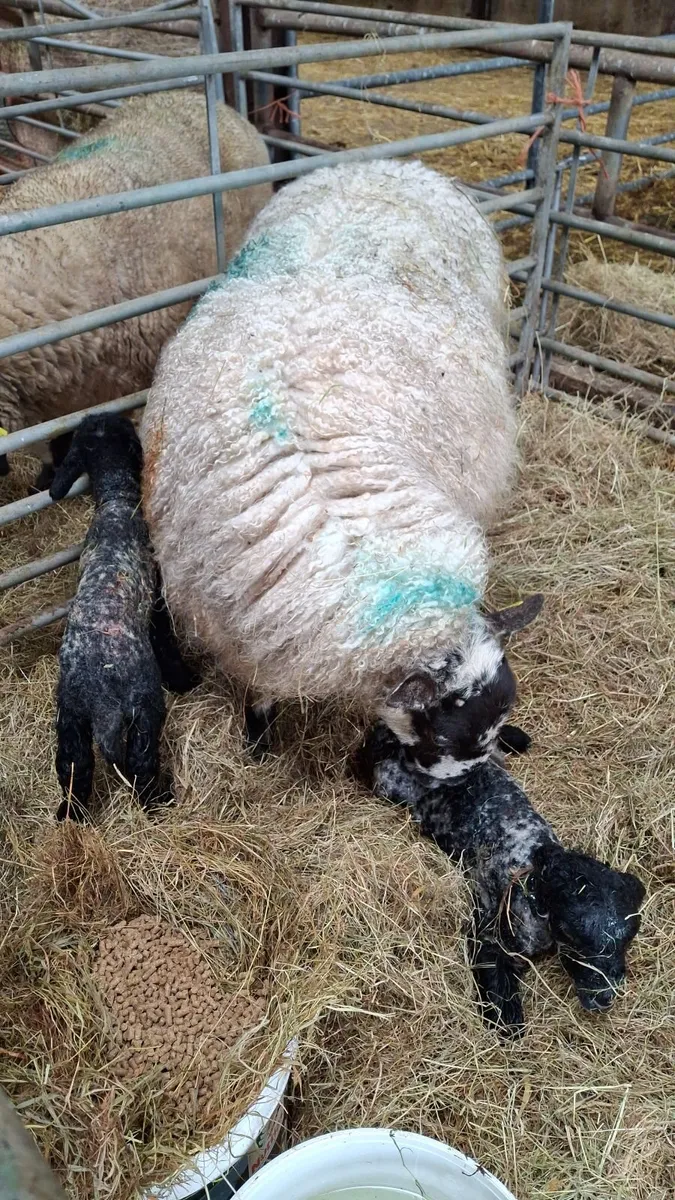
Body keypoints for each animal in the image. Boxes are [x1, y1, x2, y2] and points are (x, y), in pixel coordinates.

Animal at [51, 412, 197, 822]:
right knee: (140, 767)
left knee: (74, 770)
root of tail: (101, 700)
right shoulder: (158, 600)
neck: (116, 500)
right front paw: (186, 680)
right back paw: (160, 802)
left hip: (71, 722)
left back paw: (70, 818)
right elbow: (166, 641)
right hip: (144, 708)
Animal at [142, 158, 541, 768]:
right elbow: (258, 693)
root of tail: (380, 164)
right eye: (440, 736)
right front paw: (258, 746)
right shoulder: (247, 631)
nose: (459, 780)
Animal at [354, 722, 646, 1037]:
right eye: (573, 936)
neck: (533, 863)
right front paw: (508, 1025)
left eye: (627, 940)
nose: (603, 999)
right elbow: (502, 996)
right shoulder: (487, 933)